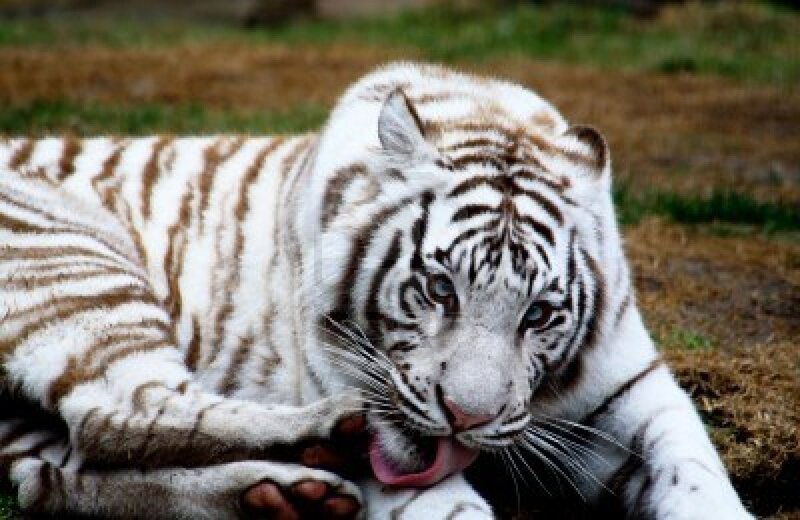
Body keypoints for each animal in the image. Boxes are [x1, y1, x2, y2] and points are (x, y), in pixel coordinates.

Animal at [0, 62, 752, 519]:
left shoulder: (635, 385)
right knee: (118, 413)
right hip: (77, 263)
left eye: (539, 315)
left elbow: (695, 470)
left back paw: (285, 492)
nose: (466, 418)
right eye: (441, 289)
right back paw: (322, 436)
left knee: (54, 474)